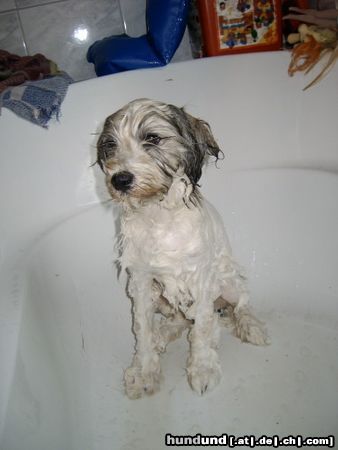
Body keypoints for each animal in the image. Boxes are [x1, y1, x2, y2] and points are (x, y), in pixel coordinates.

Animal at [96, 97, 268, 398]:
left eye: (152, 138)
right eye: (110, 145)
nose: (120, 180)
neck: (158, 215)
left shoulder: (200, 278)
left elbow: (201, 330)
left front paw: (202, 369)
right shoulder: (141, 281)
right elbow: (142, 330)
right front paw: (144, 371)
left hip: (228, 283)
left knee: (240, 305)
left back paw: (251, 326)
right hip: (159, 294)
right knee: (176, 318)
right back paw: (162, 336)